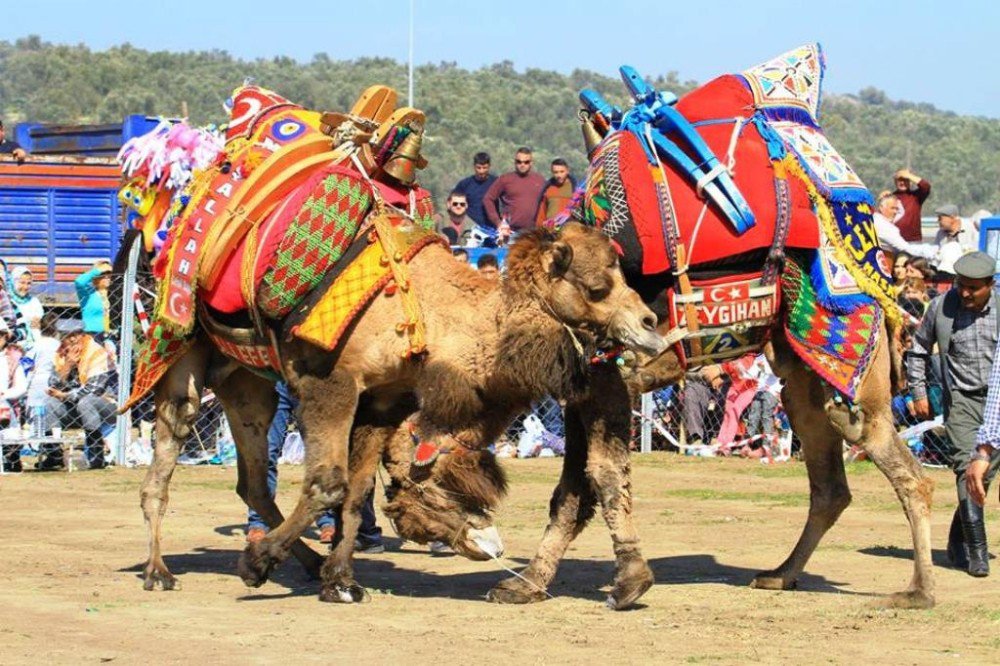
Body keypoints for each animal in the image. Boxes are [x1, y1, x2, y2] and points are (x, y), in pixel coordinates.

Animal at [135, 220, 664, 600]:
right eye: (596, 288)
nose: (650, 321)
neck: (428, 309)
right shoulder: (330, 383)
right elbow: (328, 484)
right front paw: (255, 565)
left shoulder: (383, 398)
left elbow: (356, 490)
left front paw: (339, 579)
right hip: (178, 355)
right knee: (167, 456)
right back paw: (159, 571)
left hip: (247, 384)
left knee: (253, 480)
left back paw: (304, 562)